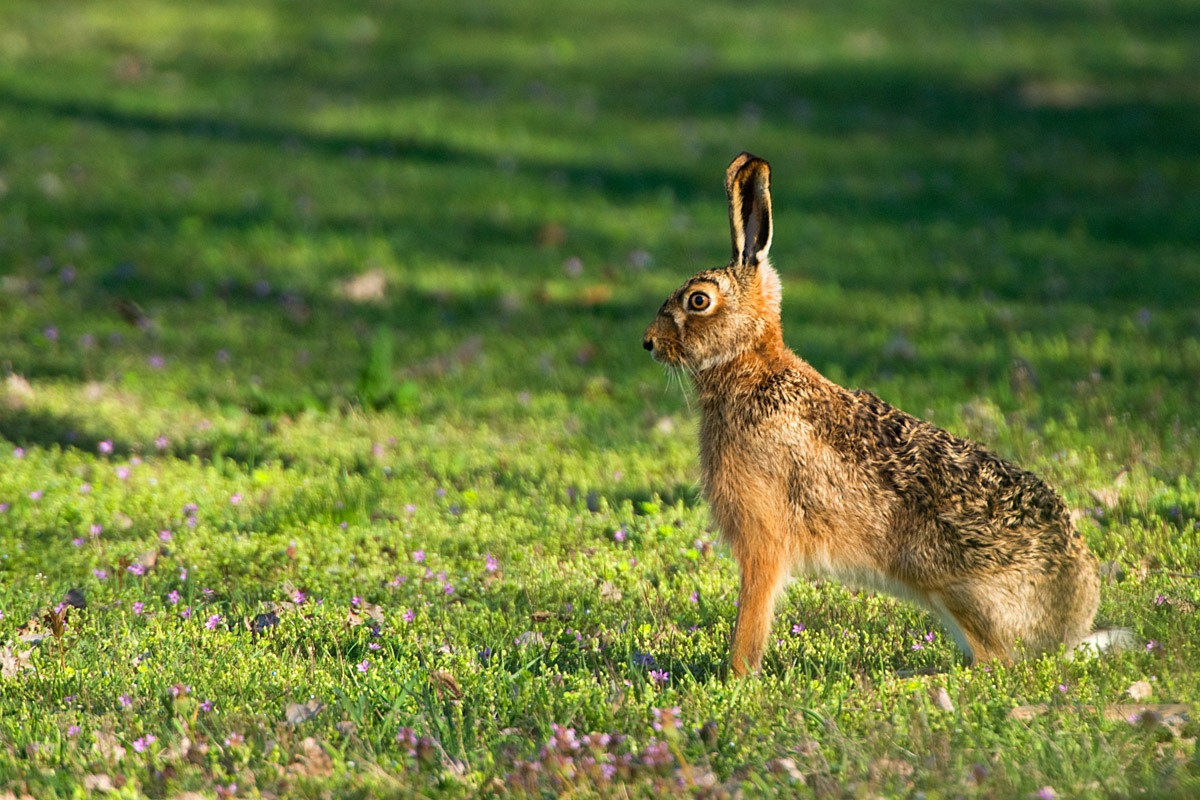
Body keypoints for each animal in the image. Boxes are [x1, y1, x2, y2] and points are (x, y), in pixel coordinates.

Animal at [643, 152, 1107, 676]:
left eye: (698, 300)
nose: (649, 343)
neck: (751, 367)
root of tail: (1072, 618)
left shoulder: (763, 535)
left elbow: (754, 611)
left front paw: (737, 673)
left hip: (952, 585)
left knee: (993, 661)